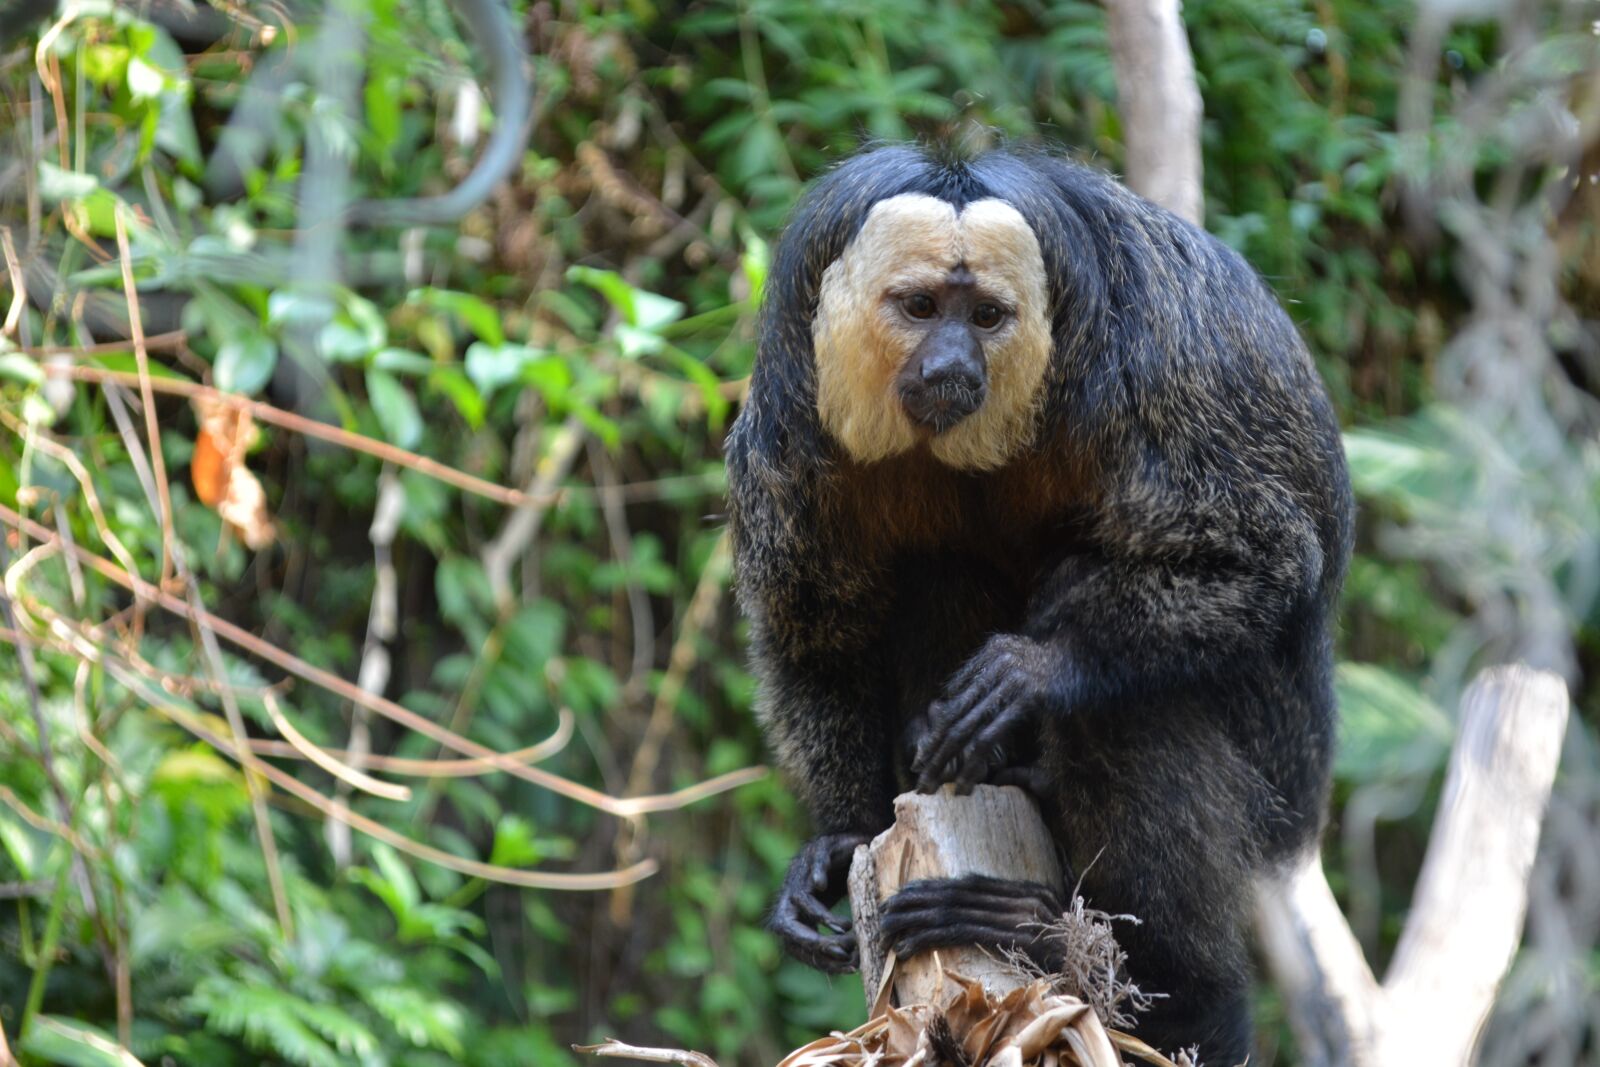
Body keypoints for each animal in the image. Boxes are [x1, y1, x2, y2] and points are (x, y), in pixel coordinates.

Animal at [724, 144, 1353, 1064]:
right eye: (921, 308)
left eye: (987, 316)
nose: (953, 365)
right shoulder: (788, 439)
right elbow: (814, 632)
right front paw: (838, 839)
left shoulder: (1146, 379)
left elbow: (1261, 559)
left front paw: (1034, 671)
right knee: (937, 570)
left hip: (1277, 790)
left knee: (1130, 703)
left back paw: (1124, 966)